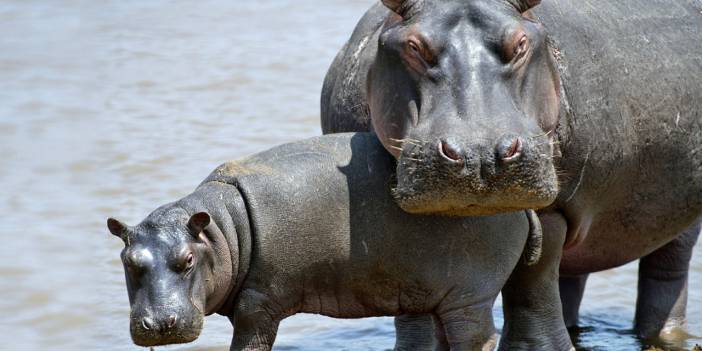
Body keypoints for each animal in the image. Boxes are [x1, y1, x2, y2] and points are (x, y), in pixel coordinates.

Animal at [106, 133, 568, 351]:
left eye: (187, 260)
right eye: (128, 260)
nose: (158, 324)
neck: (220, 229)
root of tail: (519, 203)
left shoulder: (259, 304)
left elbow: (250, 343)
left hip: (469, 296)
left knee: (477, 338)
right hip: (443, 293)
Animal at [324, 0, 702, 344]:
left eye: (520, 43)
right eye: (414, 46)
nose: (479, 153)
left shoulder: (554, 211)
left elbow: (530, 283)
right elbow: (415, 289)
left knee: (668, 269)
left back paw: (665, 333)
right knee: (571, 279)